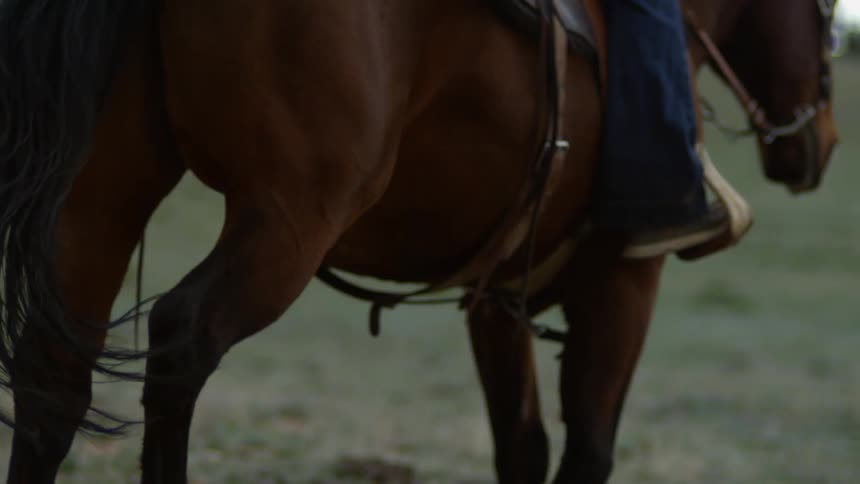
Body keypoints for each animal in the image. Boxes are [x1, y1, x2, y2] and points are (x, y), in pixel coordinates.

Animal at [0, 0, 837, 483]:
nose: (820, 145)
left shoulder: (496, 300)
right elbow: (589, 450)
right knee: (182, 344)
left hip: (100, 197)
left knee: (54, 375)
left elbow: (522, 446)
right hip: (288, 219)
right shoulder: (627, 283)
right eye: (828, 15)